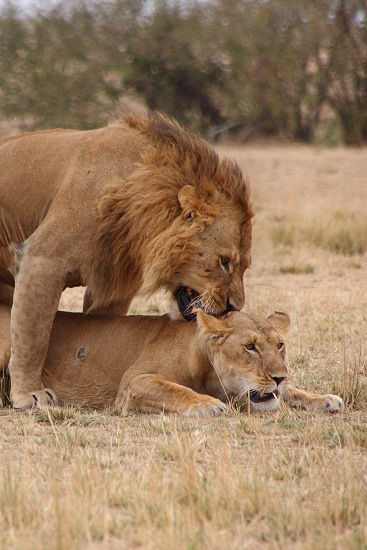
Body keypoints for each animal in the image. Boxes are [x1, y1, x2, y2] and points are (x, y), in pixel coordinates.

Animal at [0, 113, 253, 410]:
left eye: (245, 266)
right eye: (224, 262)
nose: (234, 307)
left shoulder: (113, 286)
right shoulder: (41, 260)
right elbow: (32, 336)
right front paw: (28, 394)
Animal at [0, 304, 344, 416]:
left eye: (280, 345)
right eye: (250, 347)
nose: (279, 375)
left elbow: (290, 393)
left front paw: (323, 398)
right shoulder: (133, 382)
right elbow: (175, 389)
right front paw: (206, 404)